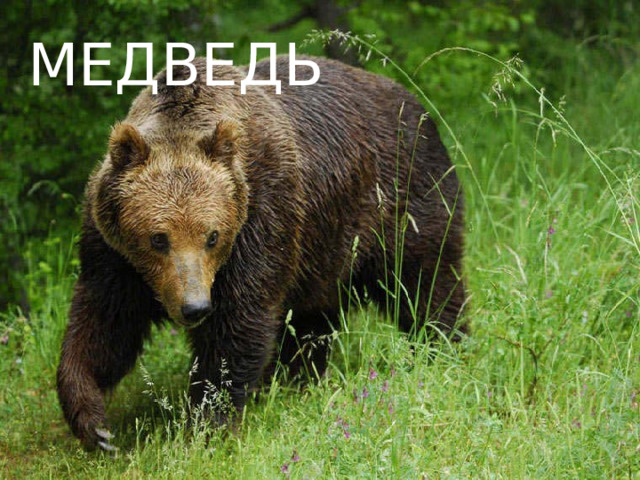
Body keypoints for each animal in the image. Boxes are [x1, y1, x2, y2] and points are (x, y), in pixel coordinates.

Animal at [56, 55, 466, 450]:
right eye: (159, 238)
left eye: (212, 236)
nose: (195, 307)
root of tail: (414, 101)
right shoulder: (115, 254)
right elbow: (106, 323)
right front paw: (94, 422)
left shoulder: (261, 217)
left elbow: (238, 322)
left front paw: (208, 423)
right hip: (323, 248)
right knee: (312, 319)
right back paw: (299, 377)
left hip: (400, 200)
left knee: (425, 281)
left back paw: (440, 347)